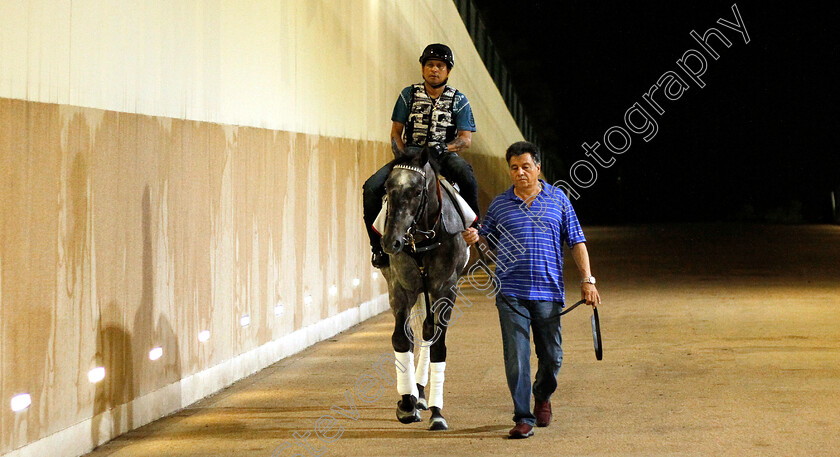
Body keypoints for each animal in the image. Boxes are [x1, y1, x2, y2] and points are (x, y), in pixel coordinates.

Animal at [378, 143, 470, 432]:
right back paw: (414, 394)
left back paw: (421, 392)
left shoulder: (445, 288)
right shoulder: (400, 286)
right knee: (414, 332)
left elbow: (438, 344)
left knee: (429, 332)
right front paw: (406, 403)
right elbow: (401, 338)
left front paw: (437, 413)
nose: (391, 242)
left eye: (417, 191)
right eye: (387, 187)